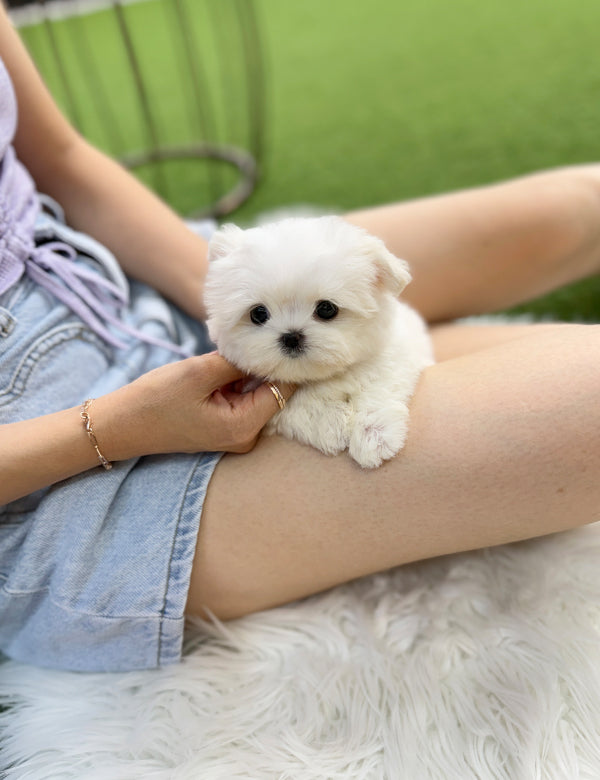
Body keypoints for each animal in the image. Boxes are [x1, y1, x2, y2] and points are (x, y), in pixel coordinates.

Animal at [204, 215, 434, 470]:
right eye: (258, 314)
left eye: (326, 309)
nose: (291, 337)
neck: (324, 376)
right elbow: (297, 408)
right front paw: (332, 425)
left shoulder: (396, 357)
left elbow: (379, 387)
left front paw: (374, 436)